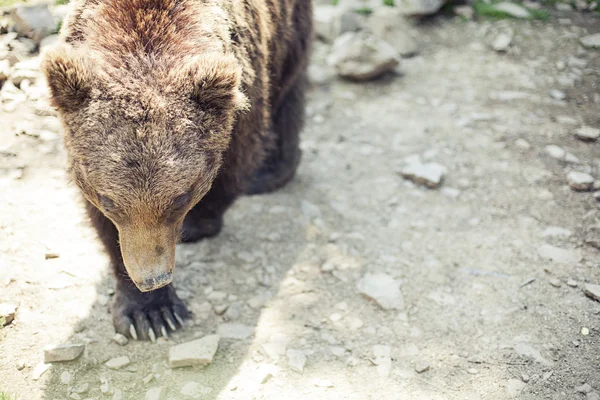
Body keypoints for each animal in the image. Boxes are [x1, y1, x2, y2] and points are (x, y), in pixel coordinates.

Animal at [42, 0, 314, 342]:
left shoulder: (242, 93)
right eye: (109, 201)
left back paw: (271, 171)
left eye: (180, 198)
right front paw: (149, 312)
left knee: (289, 81)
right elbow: (107, 228)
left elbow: (232, 168)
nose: (153, 278)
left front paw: (197, 224)